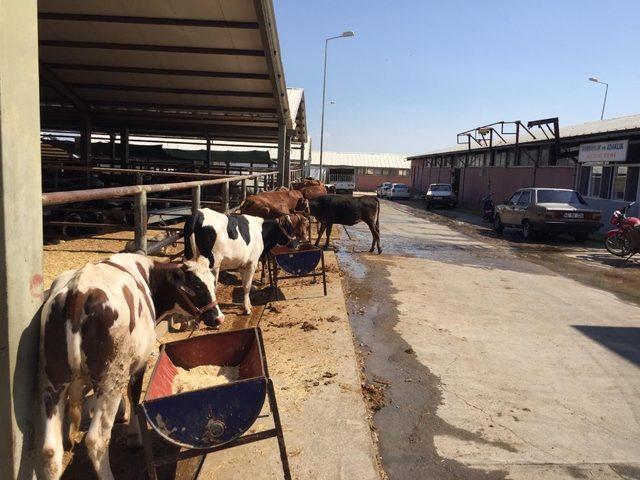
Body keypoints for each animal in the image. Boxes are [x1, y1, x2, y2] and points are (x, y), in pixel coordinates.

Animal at [40, 251, 220, 480]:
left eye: (212, 281)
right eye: (196, 286)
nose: (218, 317)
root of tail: (78, 291)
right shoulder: (139, 362)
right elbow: (134, 396)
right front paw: (135, 436)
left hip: (53, 381)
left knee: (51, 450)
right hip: (111, 378)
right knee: (97, 440)